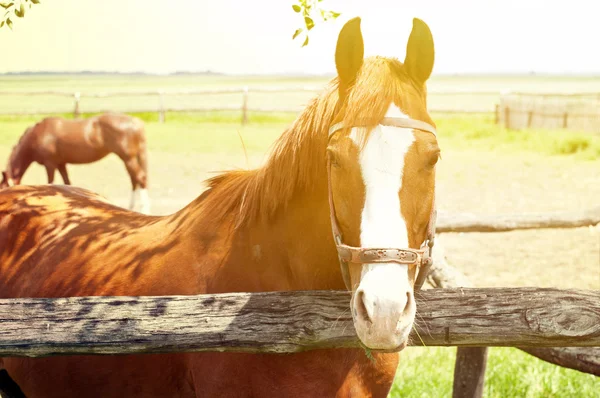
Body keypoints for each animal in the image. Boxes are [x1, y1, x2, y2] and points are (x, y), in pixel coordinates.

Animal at [0, 113, 150, 215]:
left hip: (128, 158)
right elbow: (67, 182)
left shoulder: (50, 164)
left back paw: (144, 209)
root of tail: (136, 122)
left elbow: (50, 182)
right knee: (134, 180)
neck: (38, 135)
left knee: (140, 178)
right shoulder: (61, 164)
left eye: (3, 188)